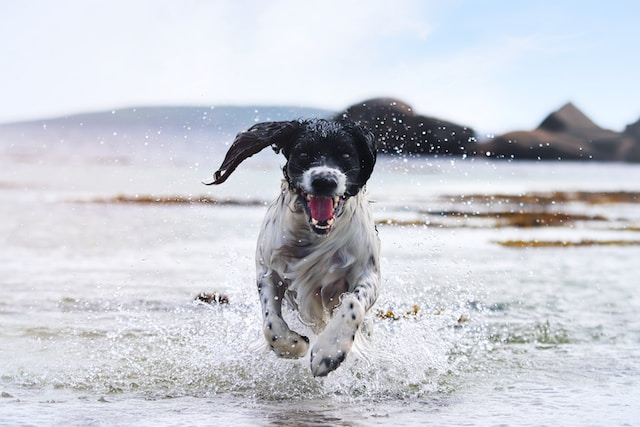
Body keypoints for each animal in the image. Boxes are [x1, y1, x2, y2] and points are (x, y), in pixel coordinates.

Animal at [205, 118, 380, 376]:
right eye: (304, 153)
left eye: (346, 154)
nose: (324, 181)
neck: (315, 235)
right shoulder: (268, 270)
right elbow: (271, 323)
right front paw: (293, 346)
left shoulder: (368, 274)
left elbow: (352, 302)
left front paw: (329, 352)